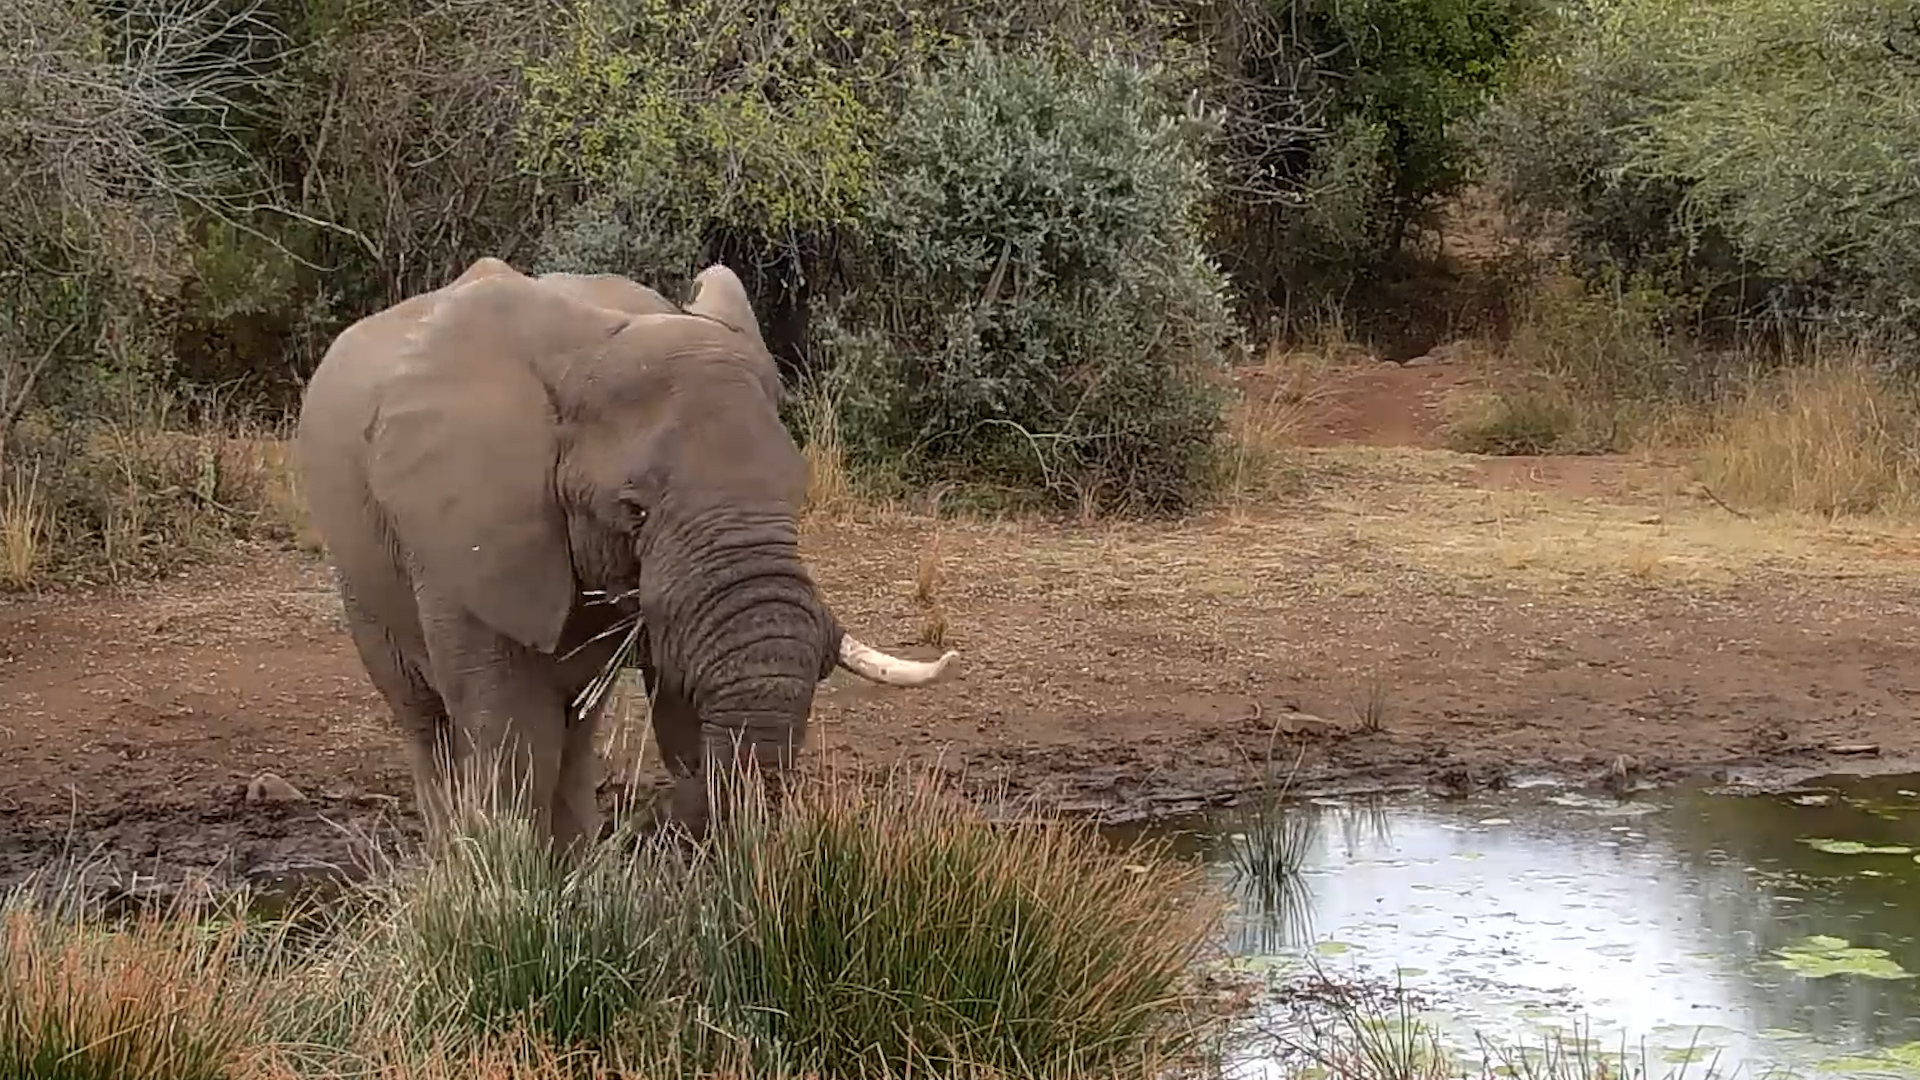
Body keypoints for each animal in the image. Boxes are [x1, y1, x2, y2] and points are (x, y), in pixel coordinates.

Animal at [293, 256, 958, 852]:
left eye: (796, 492)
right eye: (632, 510)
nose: (660, 823)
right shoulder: (460, 531)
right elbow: (514, 726)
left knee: (577, 725)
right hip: (360, 566)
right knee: (425, 716)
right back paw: (452, 855)